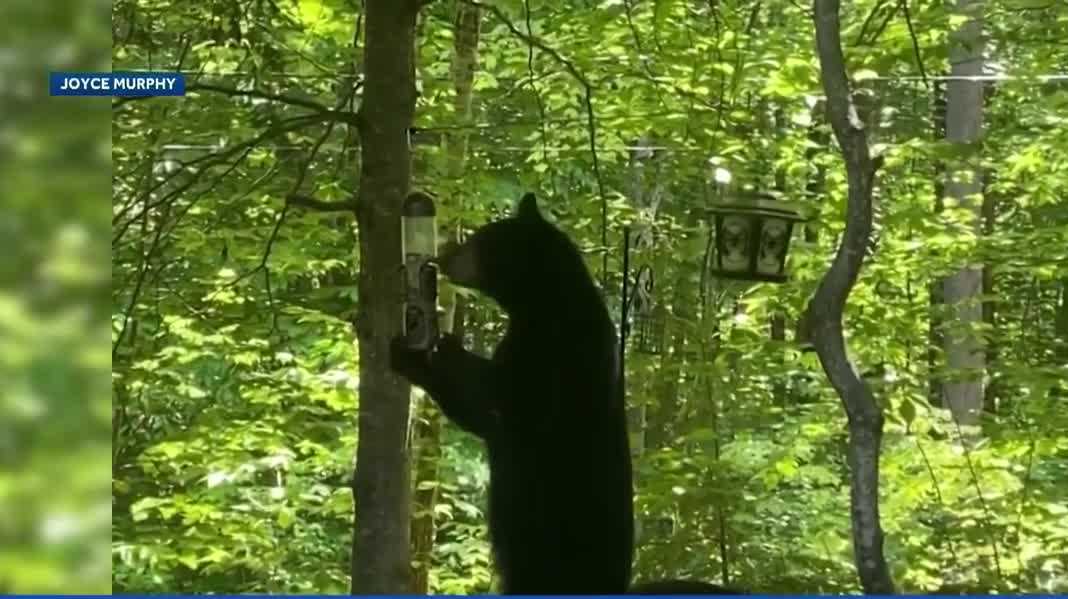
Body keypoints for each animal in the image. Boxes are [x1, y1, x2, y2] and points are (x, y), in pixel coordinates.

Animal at [390, 192, 634, 595]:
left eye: (478, 240)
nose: (444, 255)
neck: (546, 304)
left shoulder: (549, 360)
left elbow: (494, 406)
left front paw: (424, 353)